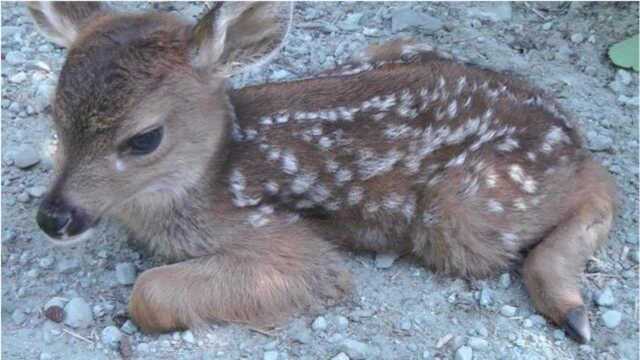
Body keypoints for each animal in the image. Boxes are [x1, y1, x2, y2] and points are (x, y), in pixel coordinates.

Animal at [30, 1, 616, 344]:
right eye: (53, 114)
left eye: (144, 138)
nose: (52, 218)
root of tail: (563, 124)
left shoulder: (283, 242)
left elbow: (146, 293)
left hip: (466, 209)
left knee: (600, 185)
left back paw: (571, 309)